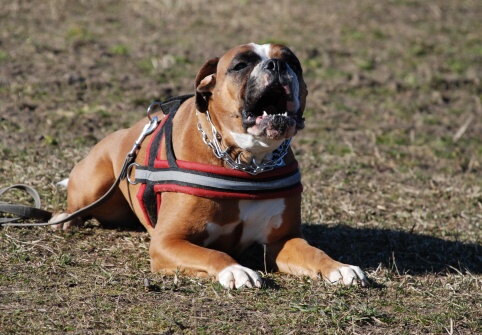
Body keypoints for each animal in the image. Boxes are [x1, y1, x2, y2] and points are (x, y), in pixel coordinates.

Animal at [52, 42, 368, 288]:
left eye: (293, 62)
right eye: (240, 64)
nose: (277, 65)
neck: (246, 162)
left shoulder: (283, 240)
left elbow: (314, 252)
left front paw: (339, 267)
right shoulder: (168, 241)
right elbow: (212, 254)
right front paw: (236, 270)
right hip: (96, 183)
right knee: (78, 204)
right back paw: (64, 218)